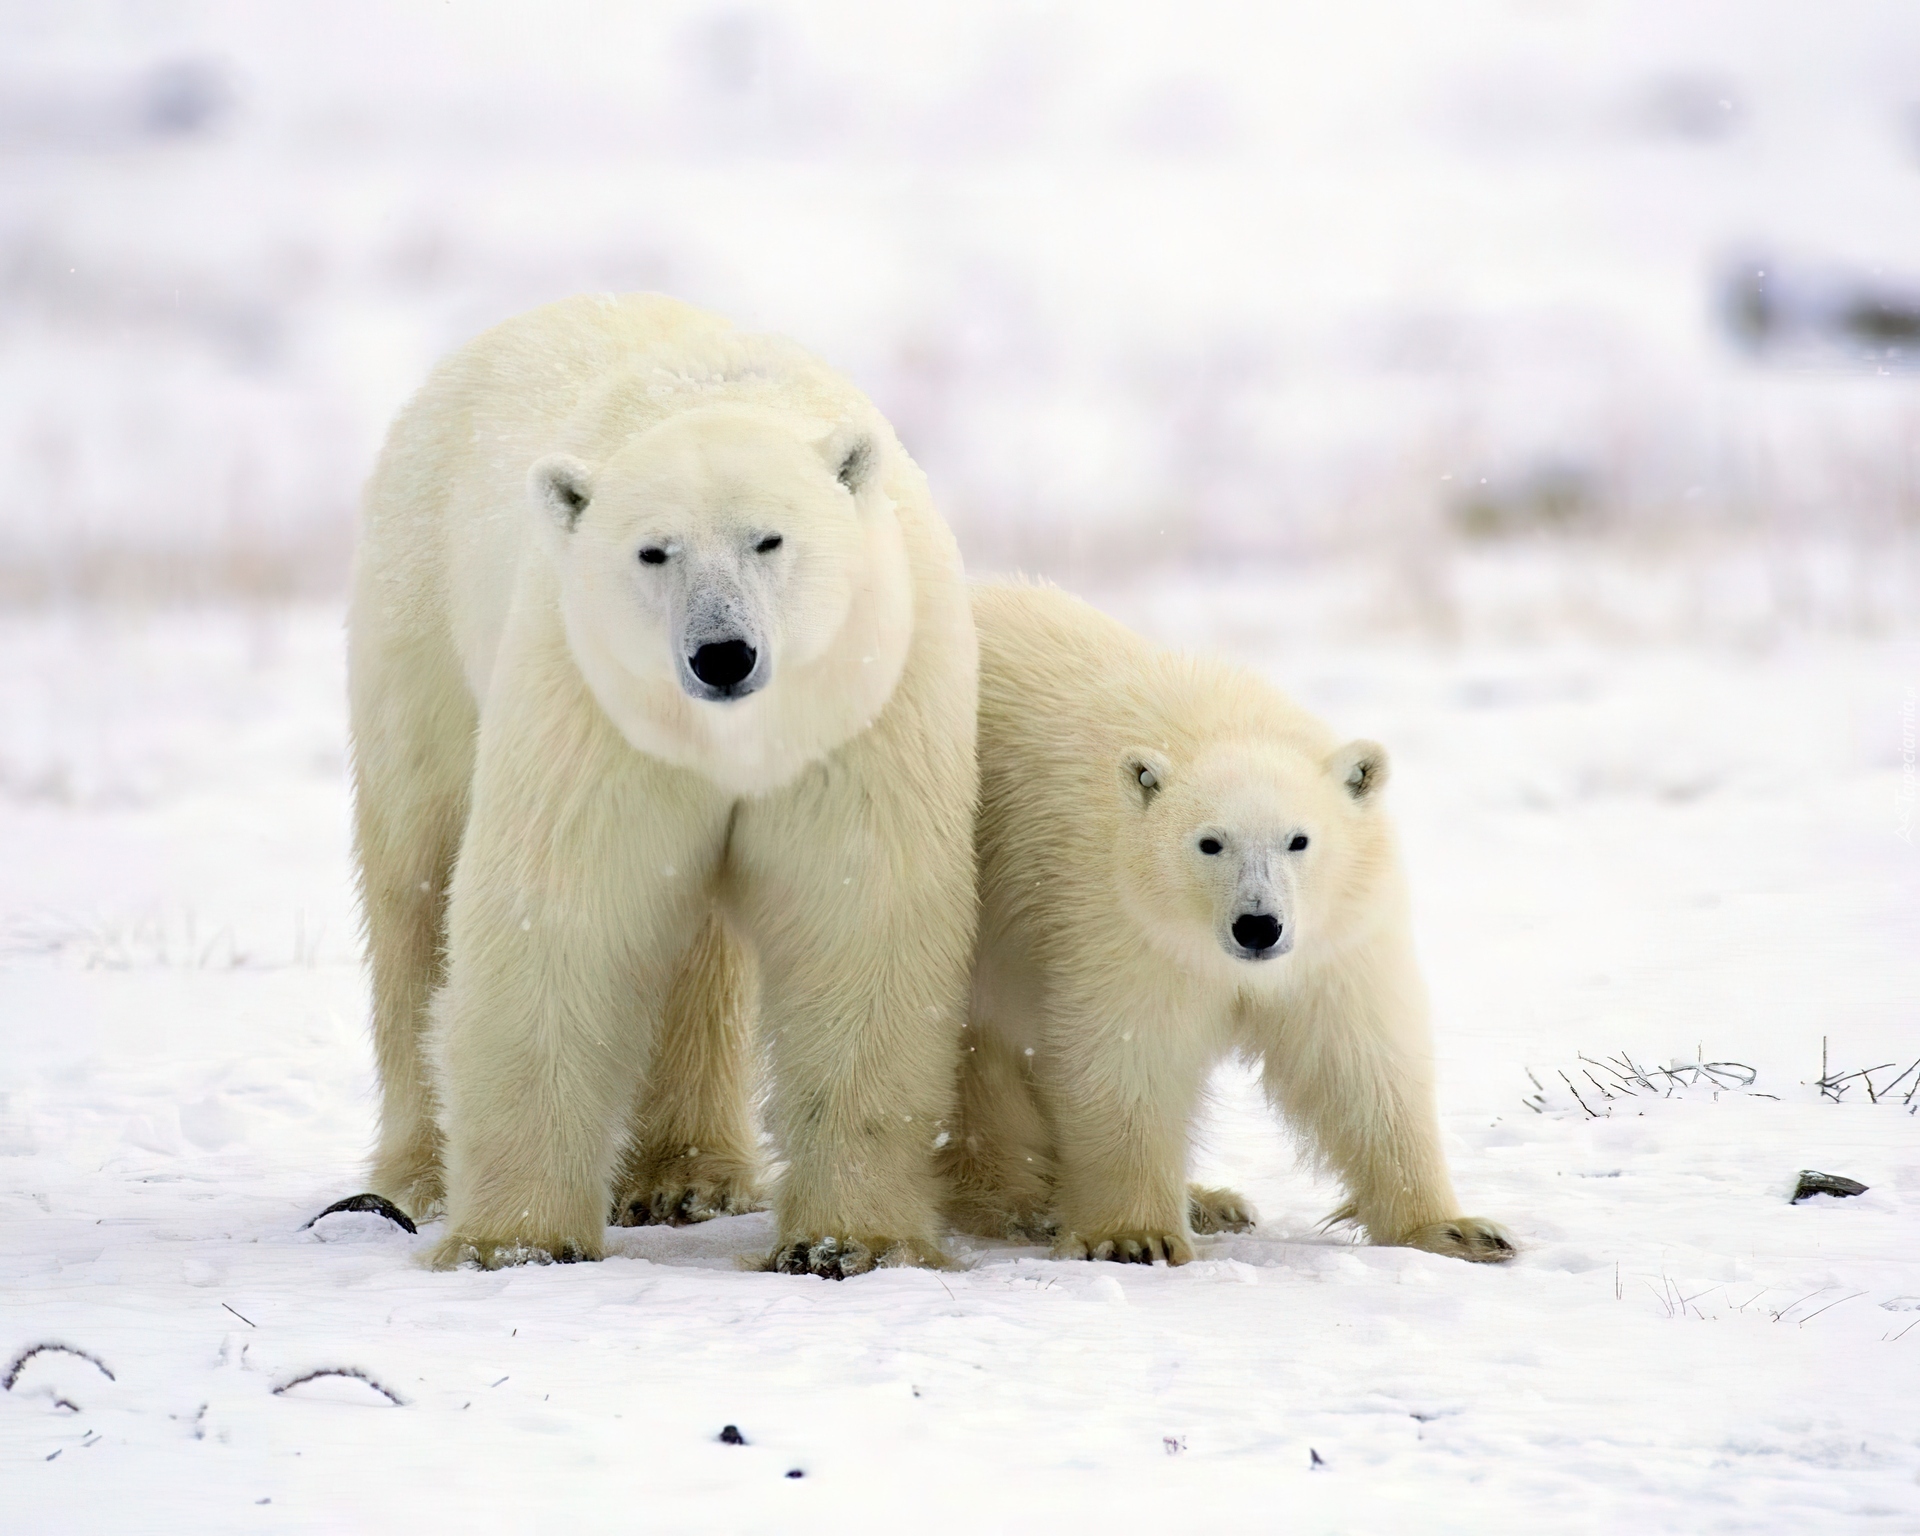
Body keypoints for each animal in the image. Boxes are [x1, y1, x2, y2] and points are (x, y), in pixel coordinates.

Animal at [349, 297, 975, 1274]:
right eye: (654, 552)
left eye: (769, 538)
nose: (722, 654)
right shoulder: (595, 698)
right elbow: (562, 911)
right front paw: (516, 1241)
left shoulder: (863, 698)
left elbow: (859, 913)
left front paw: (846, 1243)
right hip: (420, 623)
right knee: (417, 882)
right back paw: (416, 1176)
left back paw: (686, 1177)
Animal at [944, 583, 1512, 1267]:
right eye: (1209, 843)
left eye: (1299, 839)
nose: (1258, 927)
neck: (1217, 725)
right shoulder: (1119, 919)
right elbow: (1129, 1052)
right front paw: (1135, 1236)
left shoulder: (1334, 938)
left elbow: (1358, 1059)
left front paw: (1457, 1230)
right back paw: (1019, 1200)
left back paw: (1210, 1202)